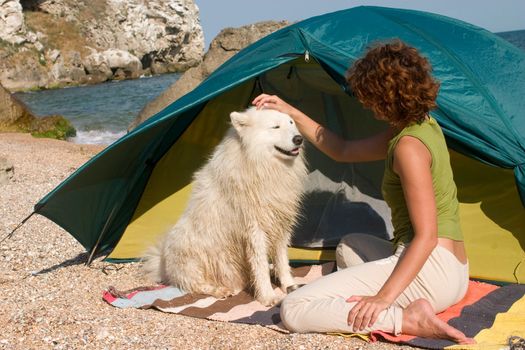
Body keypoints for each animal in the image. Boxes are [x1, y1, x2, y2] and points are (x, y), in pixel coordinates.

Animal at [143, 107, 308, 306]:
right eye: (275, 127)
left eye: (291, 123)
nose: (299, 139)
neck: (261, 165)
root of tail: (162, 263)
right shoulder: (254, 229)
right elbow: (259, 264)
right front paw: (268, 296)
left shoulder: (280, 223)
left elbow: (282, 260)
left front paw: (289, 285)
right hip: (193, 257)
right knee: (196, 284)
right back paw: (220, 290)